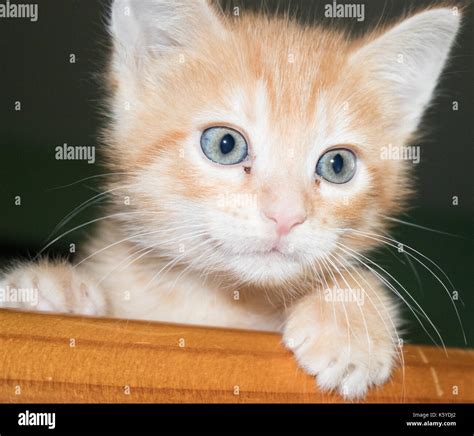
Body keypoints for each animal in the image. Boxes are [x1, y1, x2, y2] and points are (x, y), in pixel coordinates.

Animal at [0, 0, 462, 402]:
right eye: (225, 144)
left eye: (337, 165)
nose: (285, 216)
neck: (221, 302)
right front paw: (48, 290)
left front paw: (350, 316)